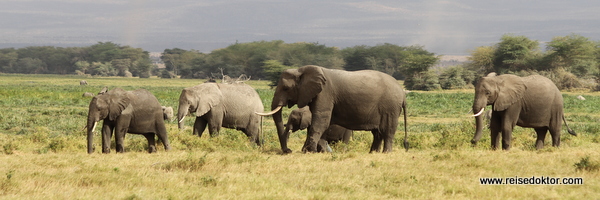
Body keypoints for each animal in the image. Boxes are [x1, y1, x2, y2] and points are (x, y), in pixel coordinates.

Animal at [256, 65, 408, 153]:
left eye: (286, 88)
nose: (288, 151)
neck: (302, 70)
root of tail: (402, 93)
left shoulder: (325, 93)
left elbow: (321, 120)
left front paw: (308, 151)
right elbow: (323, 123)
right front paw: (316, 151)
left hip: (390, 107)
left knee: (387, 131)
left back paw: (386, 153)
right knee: (377, 133)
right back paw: (373, 153)